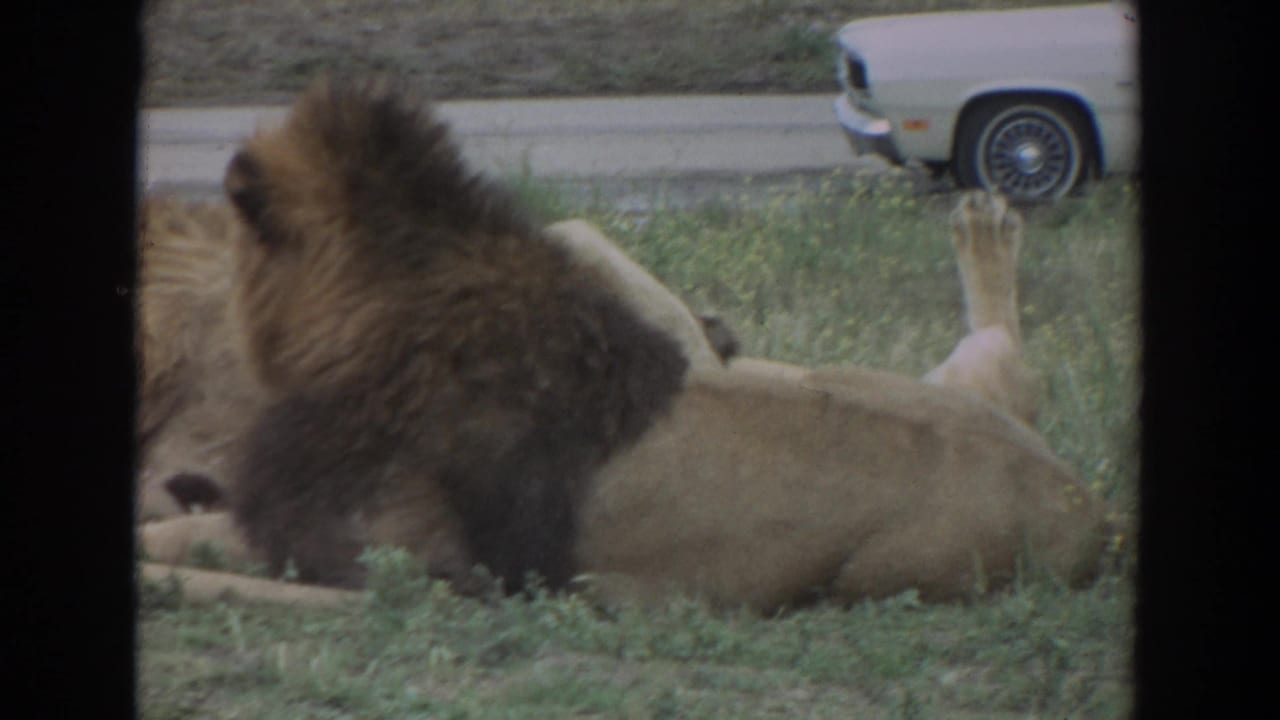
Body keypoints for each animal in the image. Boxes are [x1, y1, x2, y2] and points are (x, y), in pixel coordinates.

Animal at [139, 77, 1107, 611]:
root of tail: (1091, 506)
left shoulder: (390, 551)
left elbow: (193, 540)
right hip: (880, 376)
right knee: (995, 350)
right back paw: (983, 223)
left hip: (894, 568)